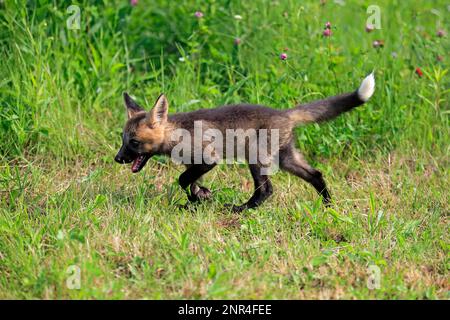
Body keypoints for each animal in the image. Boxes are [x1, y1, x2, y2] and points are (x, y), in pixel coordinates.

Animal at [114, 73, 374, 211]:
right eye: (123, 140)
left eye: (134, 142)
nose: (117, 158)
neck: (177, 134)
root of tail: (284, 113)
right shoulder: (194, 164)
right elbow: (191, 183)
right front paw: (198, 199)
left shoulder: (208, 158)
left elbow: (183, 180)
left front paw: (199, 198)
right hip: (287, 158)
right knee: (316, 174)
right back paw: (328, 206)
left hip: (256, 157)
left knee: (267, 190)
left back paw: (241, 209)